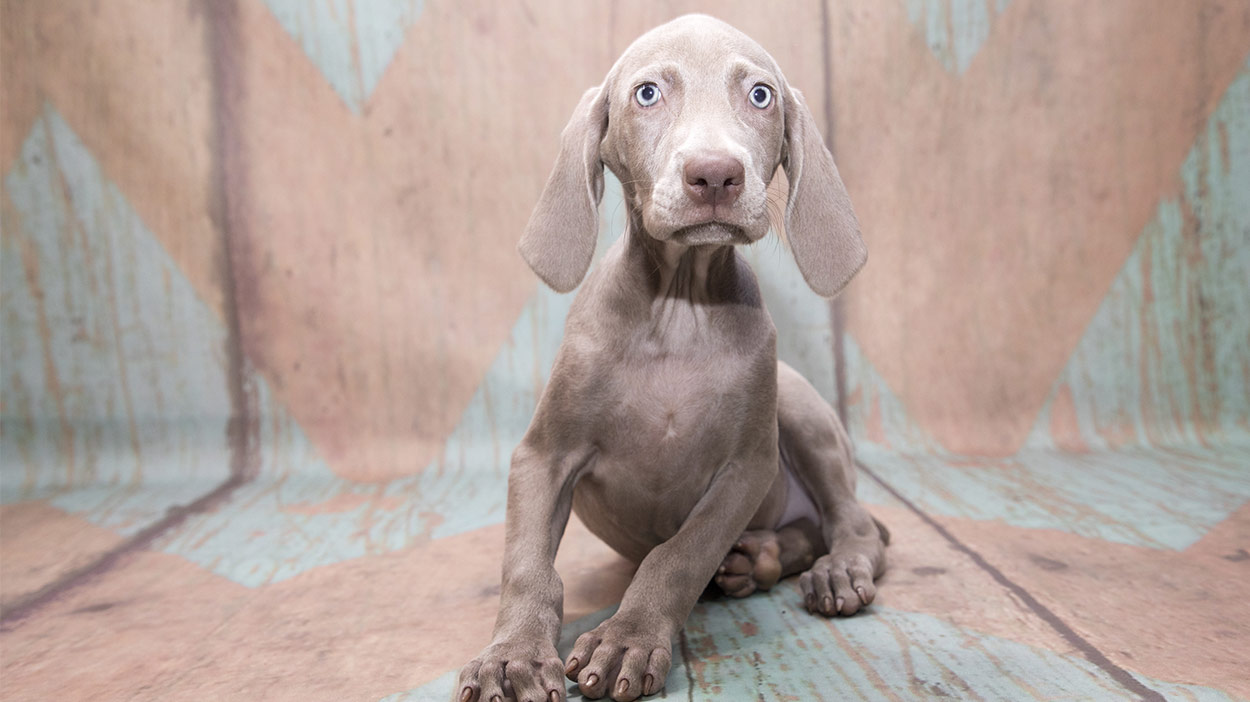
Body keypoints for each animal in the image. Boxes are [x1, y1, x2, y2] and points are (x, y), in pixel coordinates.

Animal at [457, 16, 890, 699]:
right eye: (647, 93)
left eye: (761, 95)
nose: (715, 175)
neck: (680, 308)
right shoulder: (542, 457)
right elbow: (527, 566)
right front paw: (514, 653)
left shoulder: (745, 469)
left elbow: (678, 556)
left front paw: (627, 640)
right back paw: (759, 560)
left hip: (798, 405)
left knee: (853, 521)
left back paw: (834, 568)